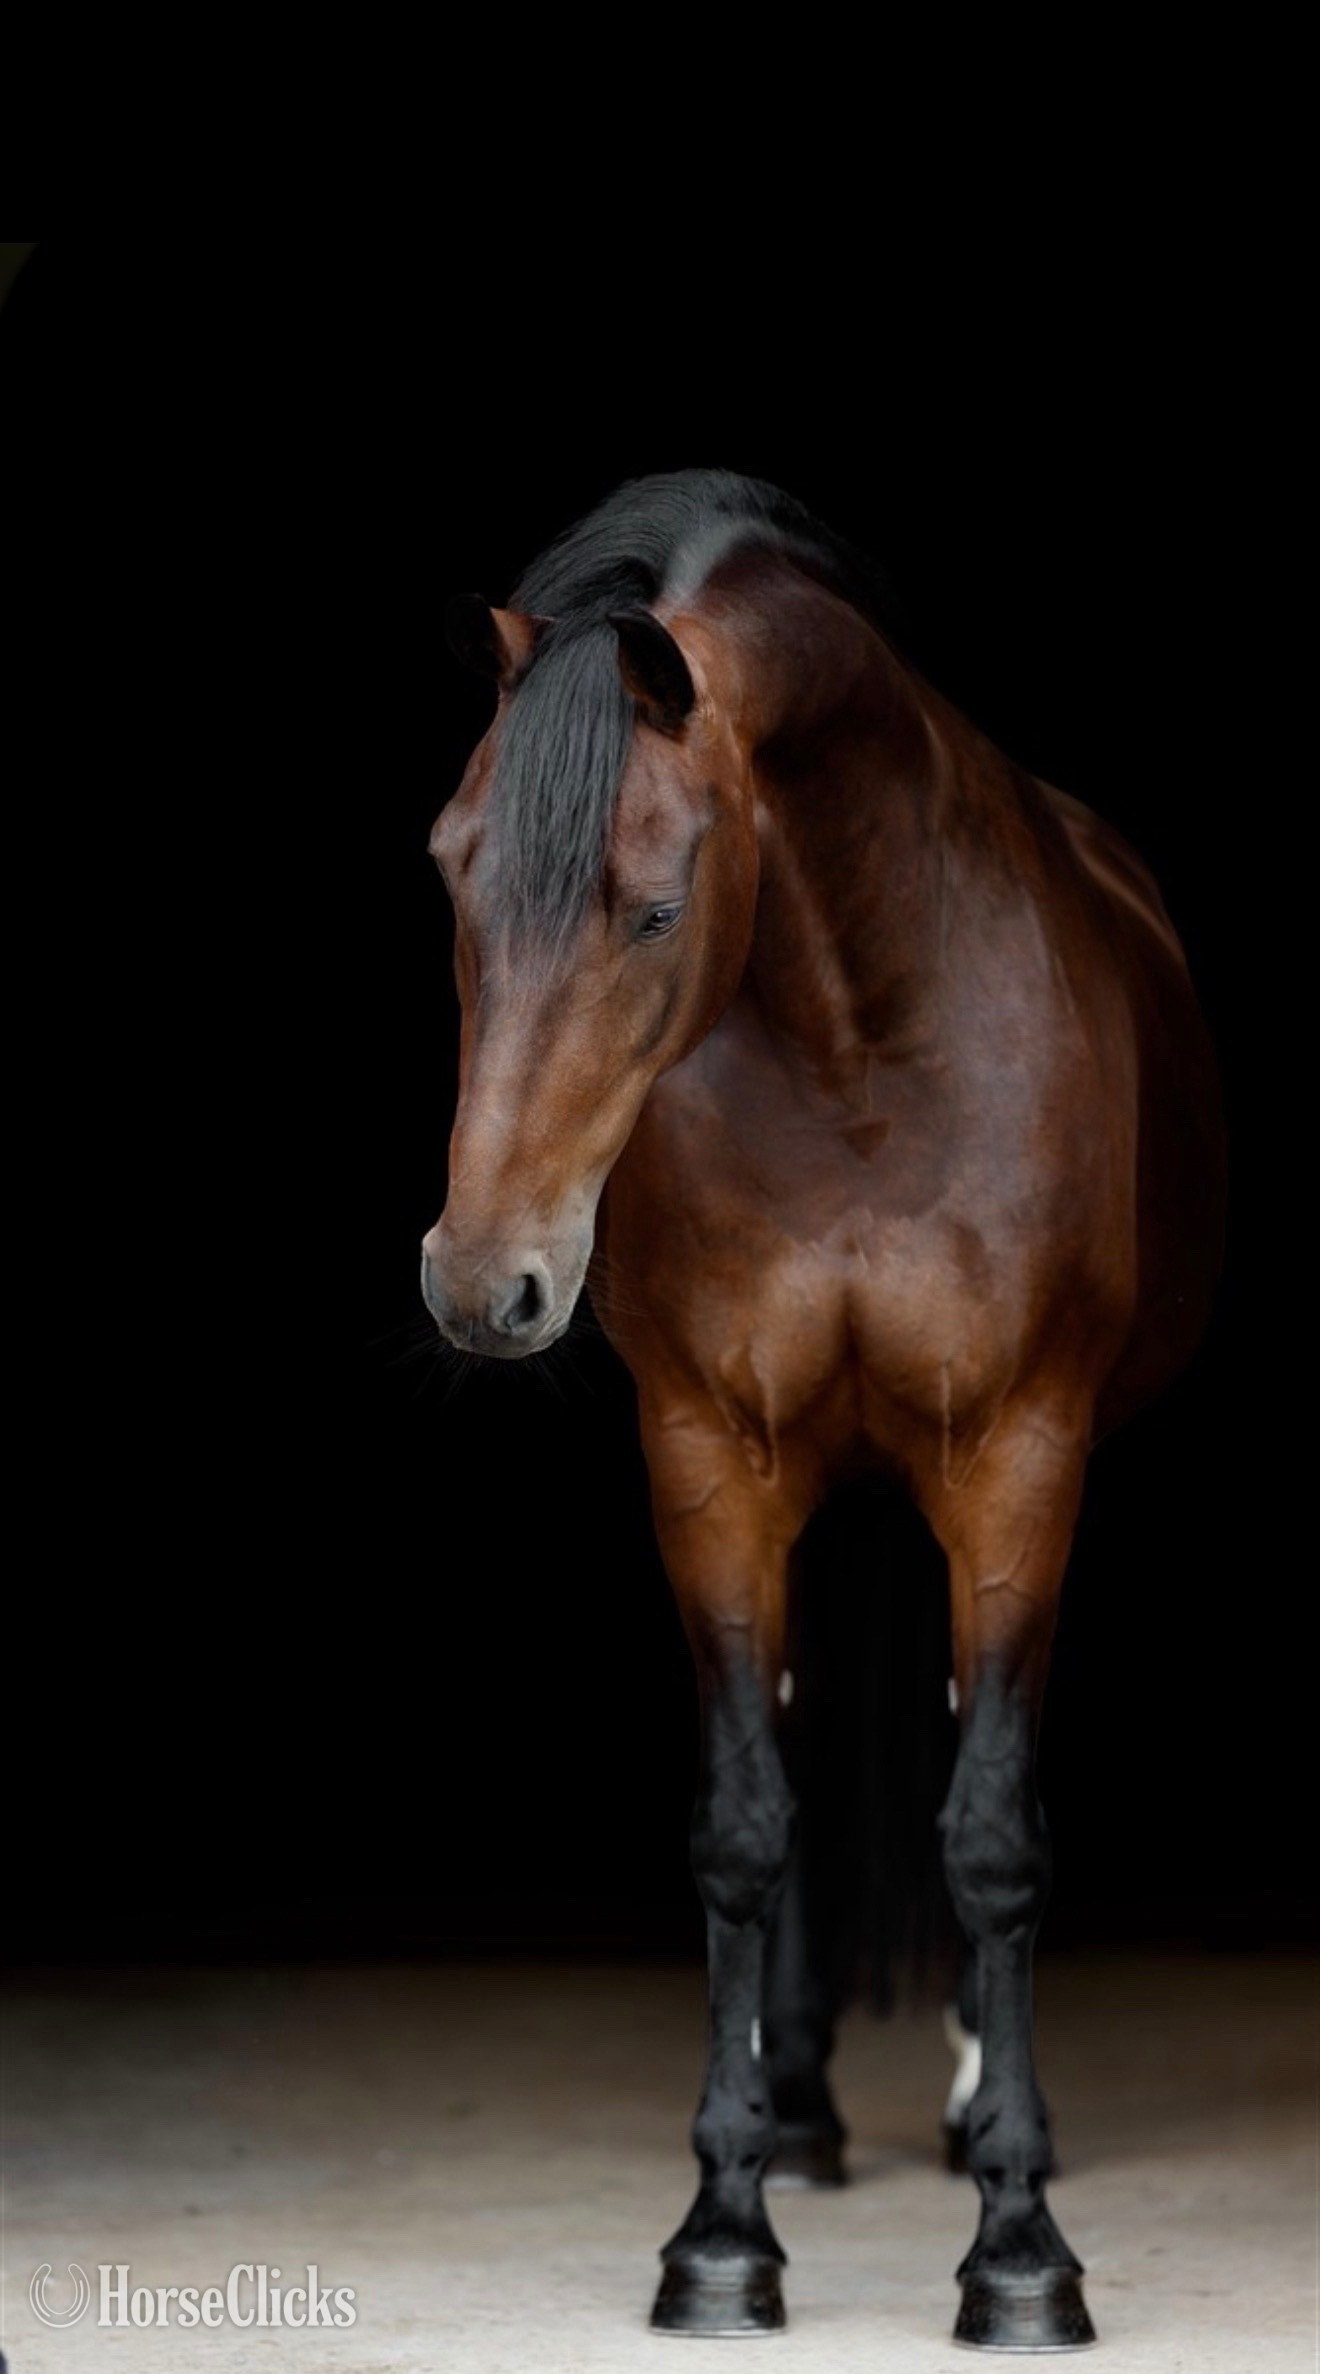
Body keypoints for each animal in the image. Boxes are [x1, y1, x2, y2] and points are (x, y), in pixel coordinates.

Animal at [421, 470, 1224, 2350]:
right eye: (450, 867)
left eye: (654, 906)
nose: (480, 1279)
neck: (863, 1049)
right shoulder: (713, 1462)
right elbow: (741, 1824)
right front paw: (722, 2226)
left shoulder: (1018, 1460)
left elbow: (993, 1832)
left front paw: (1021, 2244)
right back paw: (794, 2107)